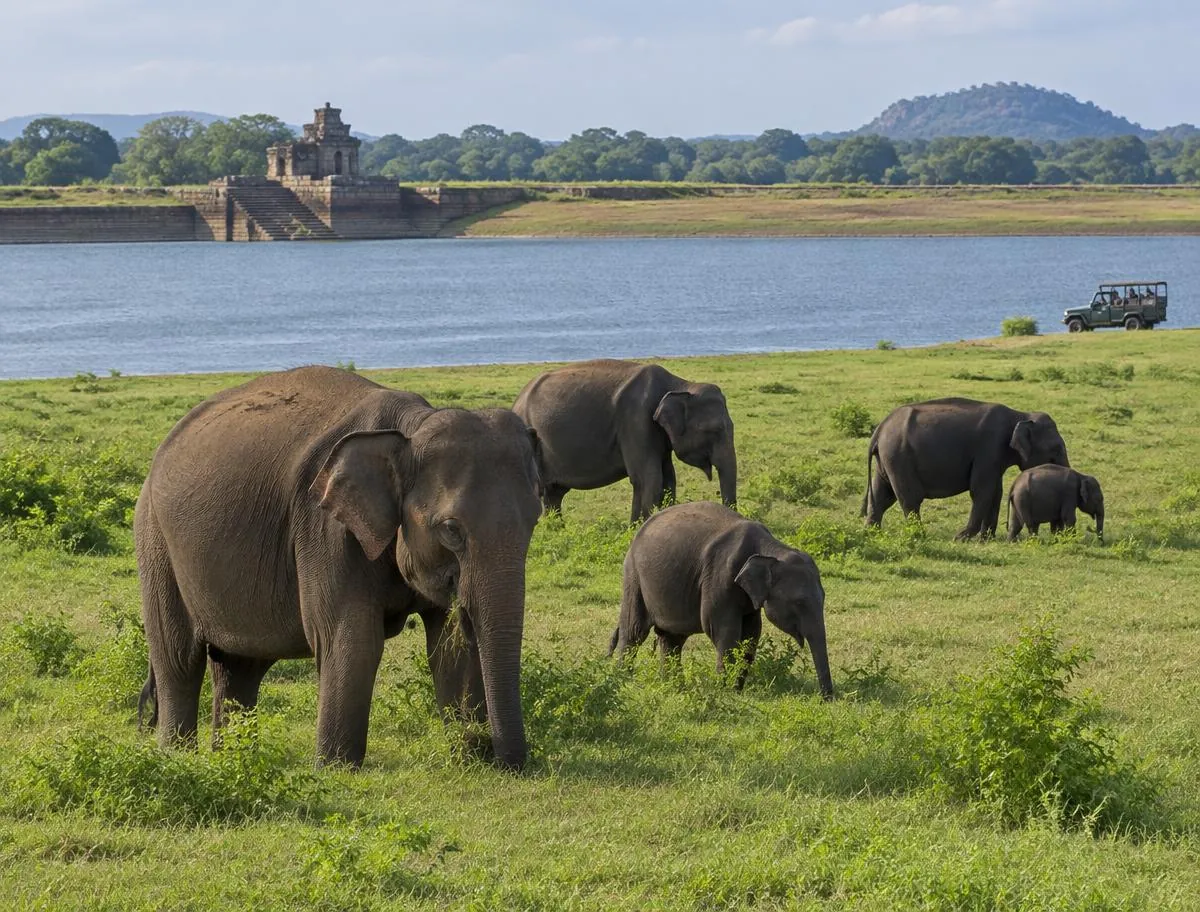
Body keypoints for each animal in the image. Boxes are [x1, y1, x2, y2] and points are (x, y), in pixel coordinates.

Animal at [134, 365, 543, 770]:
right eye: (451, 529)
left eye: (534, 520)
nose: (507, 763)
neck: (408, 429)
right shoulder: (324, 528)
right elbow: (353, 640)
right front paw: (336, 769)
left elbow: (450, 647)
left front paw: (469, 759)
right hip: (155, 542)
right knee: (179, 659)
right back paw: (177, 757)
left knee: (240, 667)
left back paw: (233, 761)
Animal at [512, 359, 737, 523]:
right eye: (715, 430)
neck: (679, 384)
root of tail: (517, 401)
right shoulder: (636, 421)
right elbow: (648, 478)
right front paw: (639, 528)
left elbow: (667, 478)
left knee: (554, 493)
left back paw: (557, 529)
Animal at [609, 502, 832, 698]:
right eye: (799, 603)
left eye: (823, 598)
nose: (826, 699)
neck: (770, 549)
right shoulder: (719, 578)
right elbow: (722, 630)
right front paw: (725, 691)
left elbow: (752, 633)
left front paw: (735, 690)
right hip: (634, 575)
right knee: (634, 631)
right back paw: (622, 680)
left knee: (672, 638)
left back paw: (673, 686)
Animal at [862, 397, 1070, 540]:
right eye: (1057, 448)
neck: (1020, 415)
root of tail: (879, 430)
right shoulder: (989, 448)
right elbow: (981, 491)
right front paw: (962, 538)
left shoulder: (995, 457)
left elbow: (995, 492)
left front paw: (987, 539)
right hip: (899, 457)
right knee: (909, 497)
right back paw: (919, 535)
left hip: (887, 460)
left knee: (881, 495)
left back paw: (871, 533)